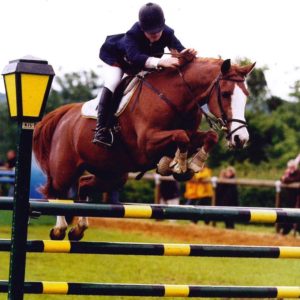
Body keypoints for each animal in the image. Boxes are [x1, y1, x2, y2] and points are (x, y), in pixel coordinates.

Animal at [32, 51, 254, 240]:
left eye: (246, 95)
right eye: (225, 94)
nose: (240, 138)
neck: (177, 96)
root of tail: (65, 115)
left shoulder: (190, 135)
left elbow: (208, 137)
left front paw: (190, 164)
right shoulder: (147, 143)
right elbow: (181, 136)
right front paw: (178, 165)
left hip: (113, 173)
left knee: (84, 185)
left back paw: (79, 228)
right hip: (65, 168)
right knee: (56, 192)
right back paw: (59, 229)